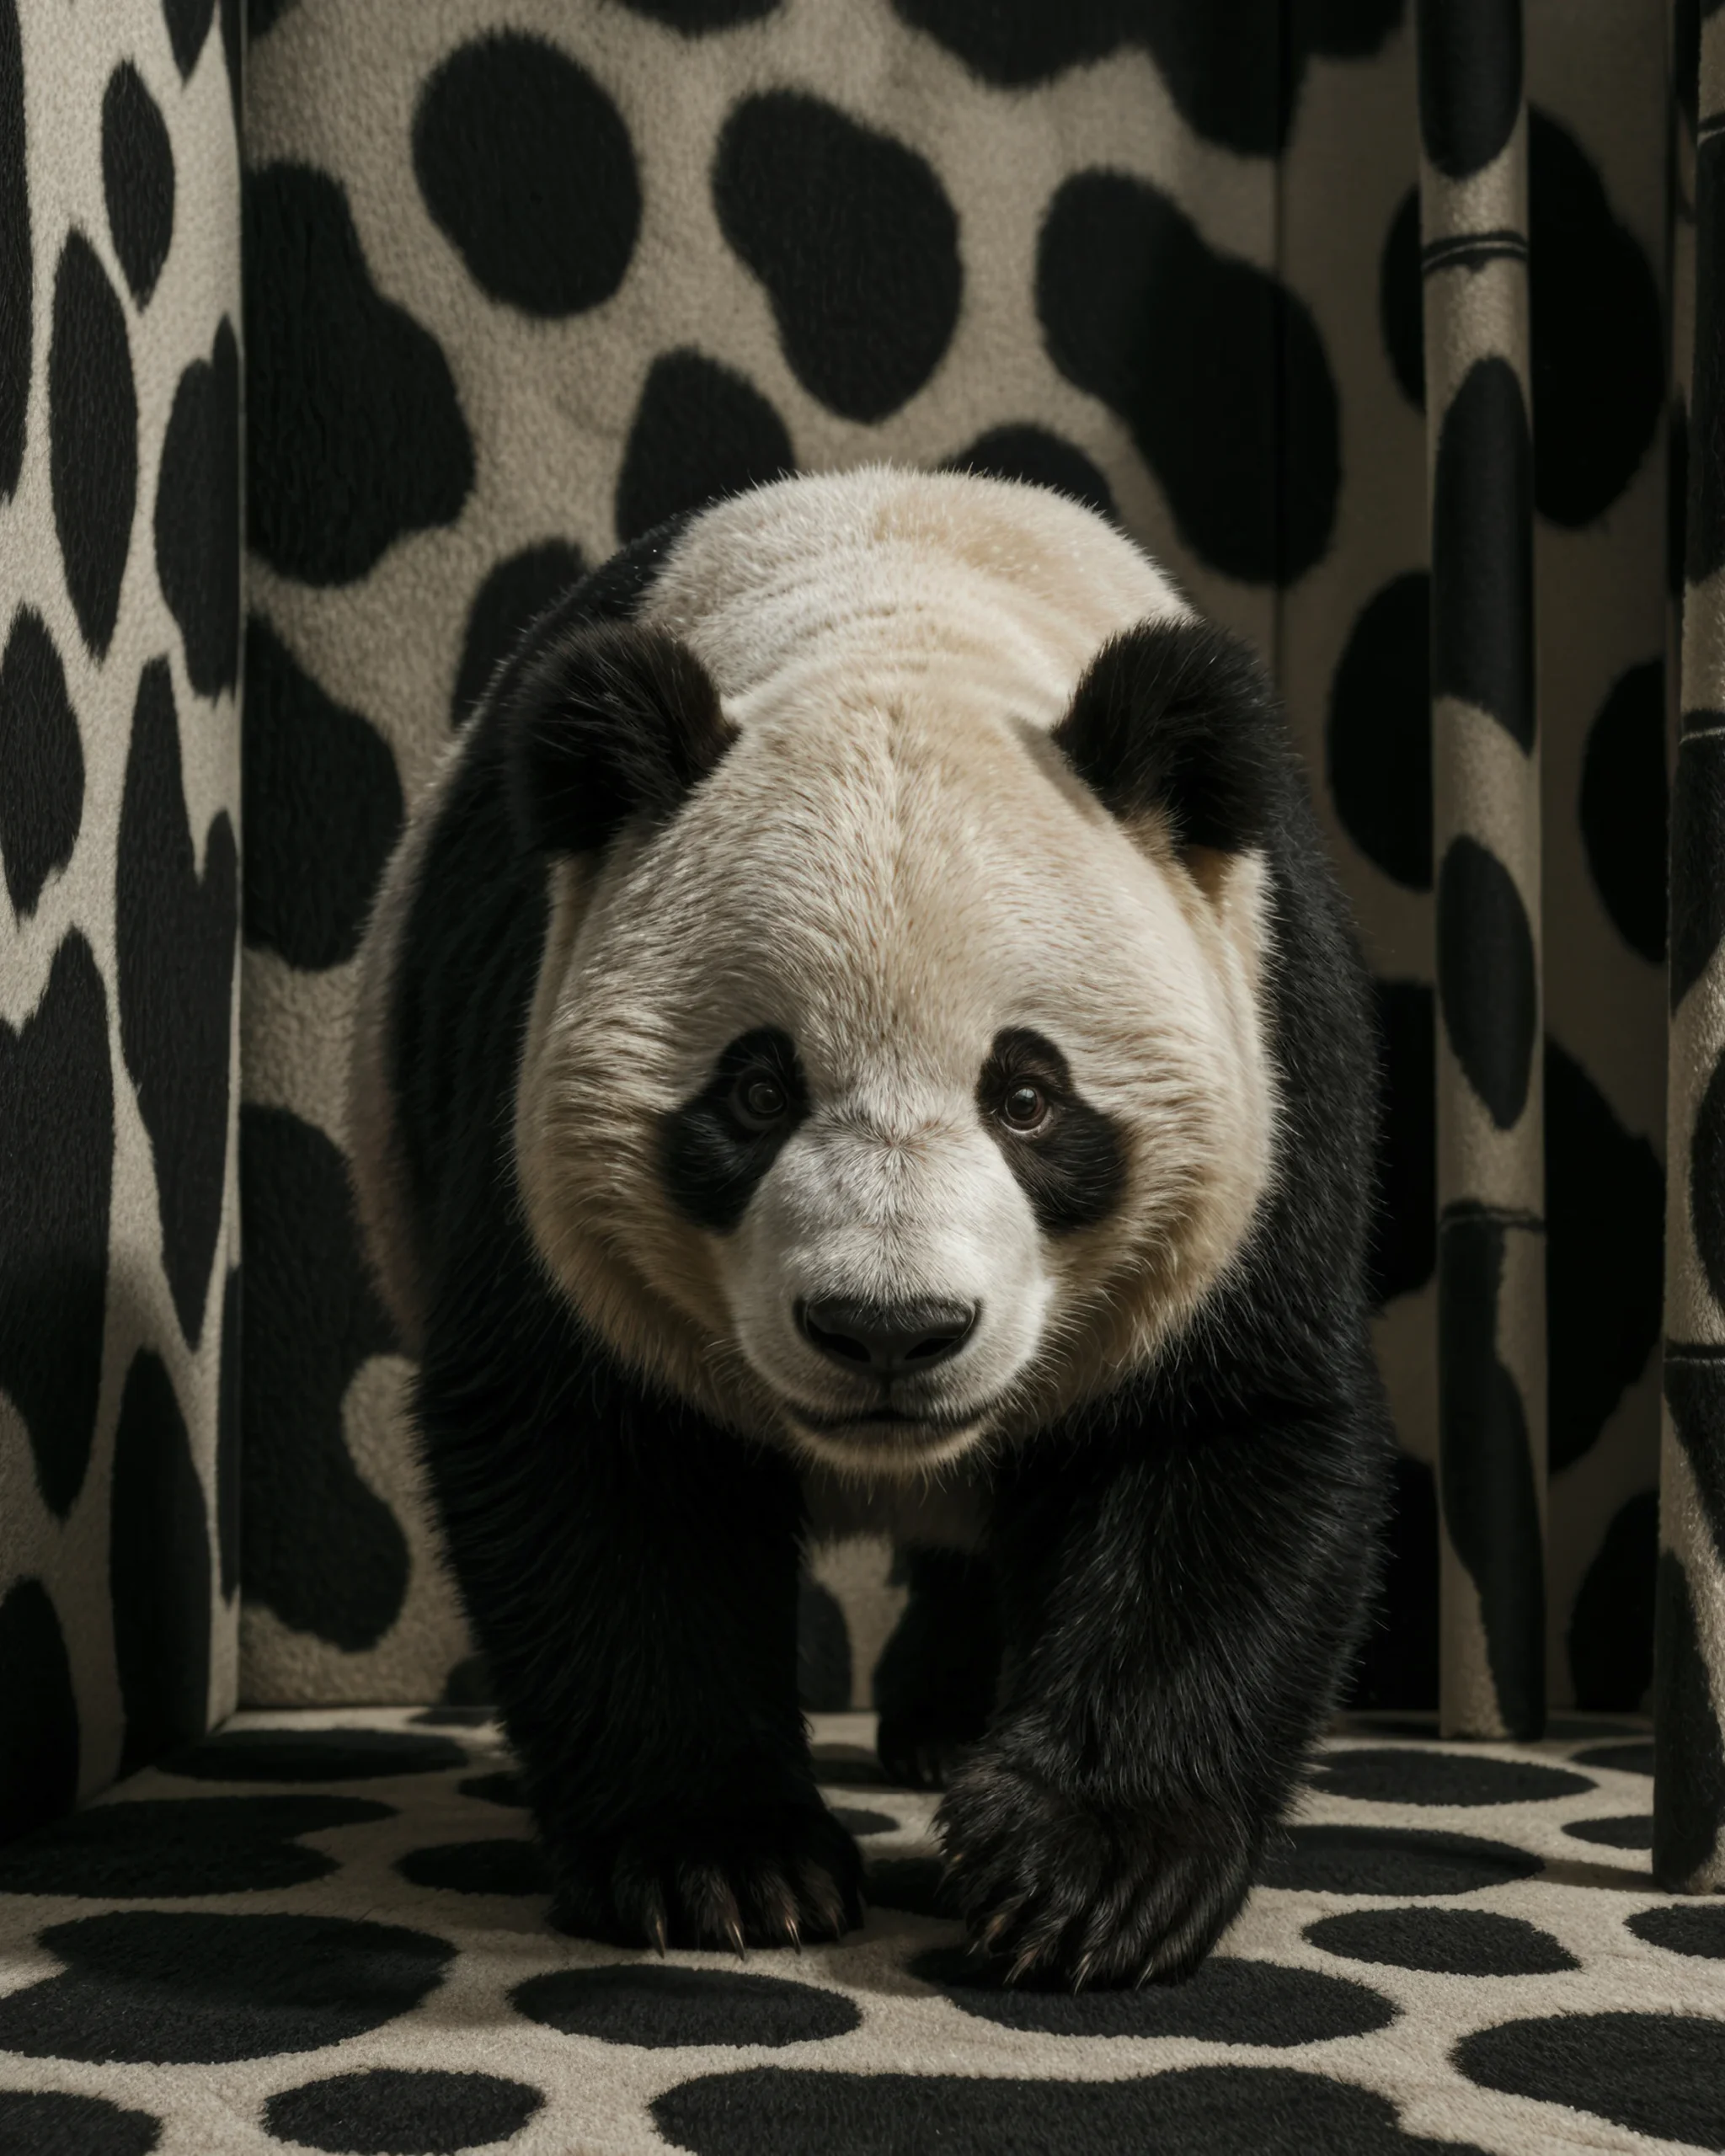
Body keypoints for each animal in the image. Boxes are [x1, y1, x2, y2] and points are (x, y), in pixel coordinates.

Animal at [349, 467, 1391, 1988]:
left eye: (1027, 1096)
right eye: (755, 1089)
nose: (889, 1332)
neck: (904, 609)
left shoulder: (1264, 1055)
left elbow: (1219, 1437)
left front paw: (1084, 1878)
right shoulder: (524, 1106)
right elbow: (598, 1461)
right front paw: (725, 1867)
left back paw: (950, 1724)